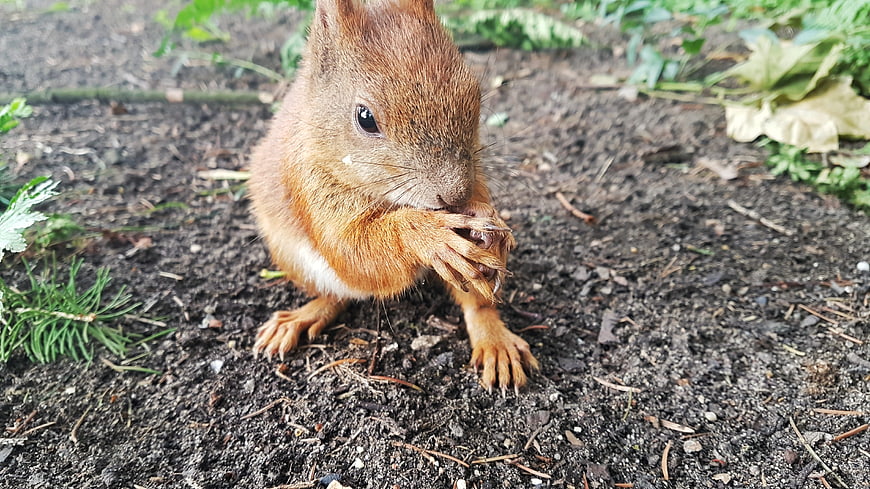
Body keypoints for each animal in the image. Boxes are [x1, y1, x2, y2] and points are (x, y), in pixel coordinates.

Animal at [247, 0, 538, 391]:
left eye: (473, 93)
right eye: (365, 118)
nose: (453, 194)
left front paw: (487, 218)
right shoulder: (309, 184)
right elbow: (352, 249)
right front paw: (428, 235)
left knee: (476, 303)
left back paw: (496, 340)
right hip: (292, 260)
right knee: (336, 296)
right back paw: (300, 317)